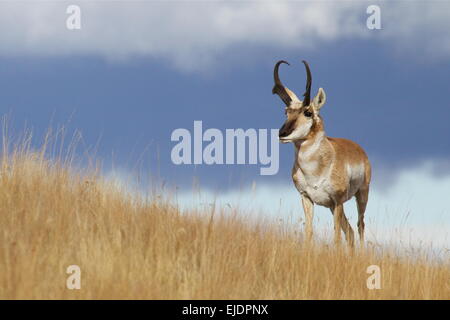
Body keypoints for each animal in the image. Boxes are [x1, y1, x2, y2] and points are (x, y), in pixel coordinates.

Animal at [272, 60, 370, 248]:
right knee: (350, 232)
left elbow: (336, 237)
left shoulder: (338, 200)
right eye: (286, 112)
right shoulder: (307, 199)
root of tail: (358, 148)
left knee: (360, 225)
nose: (282, 133)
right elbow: (309, 232)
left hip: (361, 195)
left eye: (308, 112)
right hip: (332, 206)